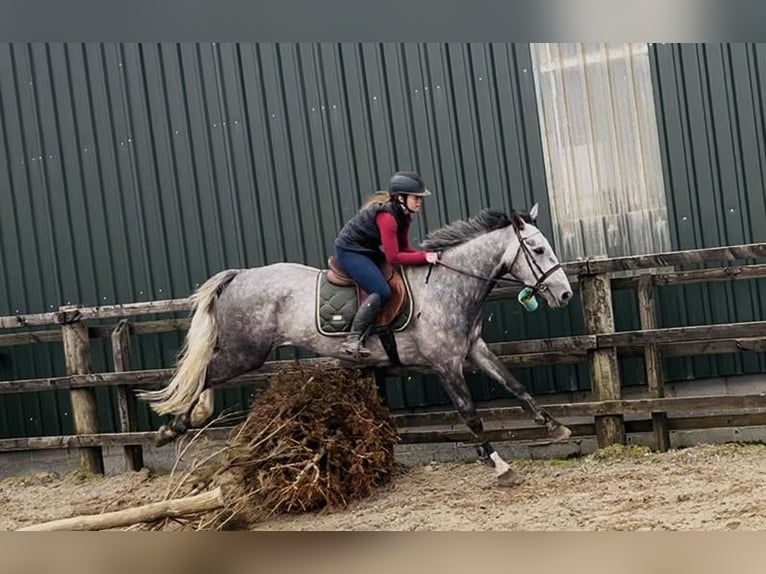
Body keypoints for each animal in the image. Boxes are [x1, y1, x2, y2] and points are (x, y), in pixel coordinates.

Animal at [137, 202, 574, 486]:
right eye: (537, 250)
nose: (565, 295)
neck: (449, 284)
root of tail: (239, 275)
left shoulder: (473, 350)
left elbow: (515, 385)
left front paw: (555, 426)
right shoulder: (445, 364)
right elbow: (471, 415)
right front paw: (500, 465)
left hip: (245, 351)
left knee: (207, 369)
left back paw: (188, 419)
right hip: (247, 351)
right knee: (206, 371)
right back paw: (173, 426)